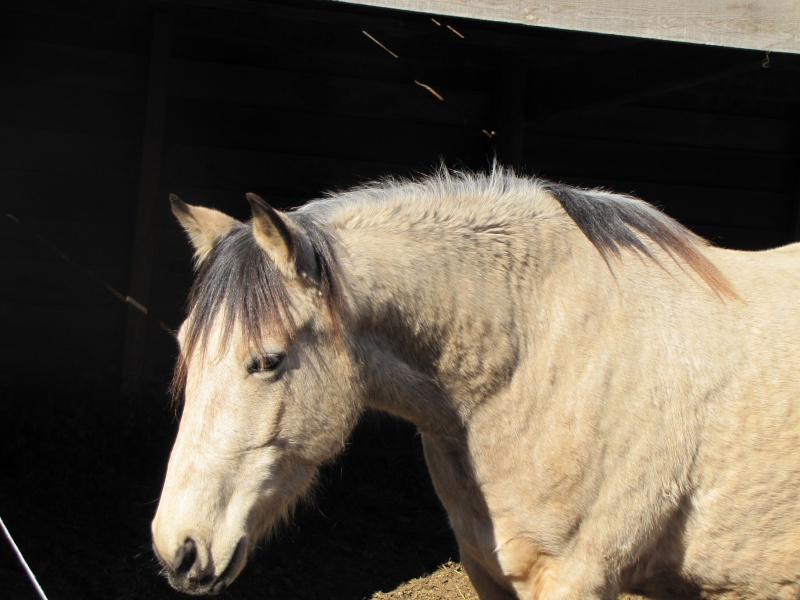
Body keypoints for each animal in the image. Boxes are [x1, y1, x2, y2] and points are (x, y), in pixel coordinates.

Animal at [150, 170, 800, 600]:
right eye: (186, 348)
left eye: (267, 361)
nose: (177, 547)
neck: (541, 354)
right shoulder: (487, 570)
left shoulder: (577, 576)